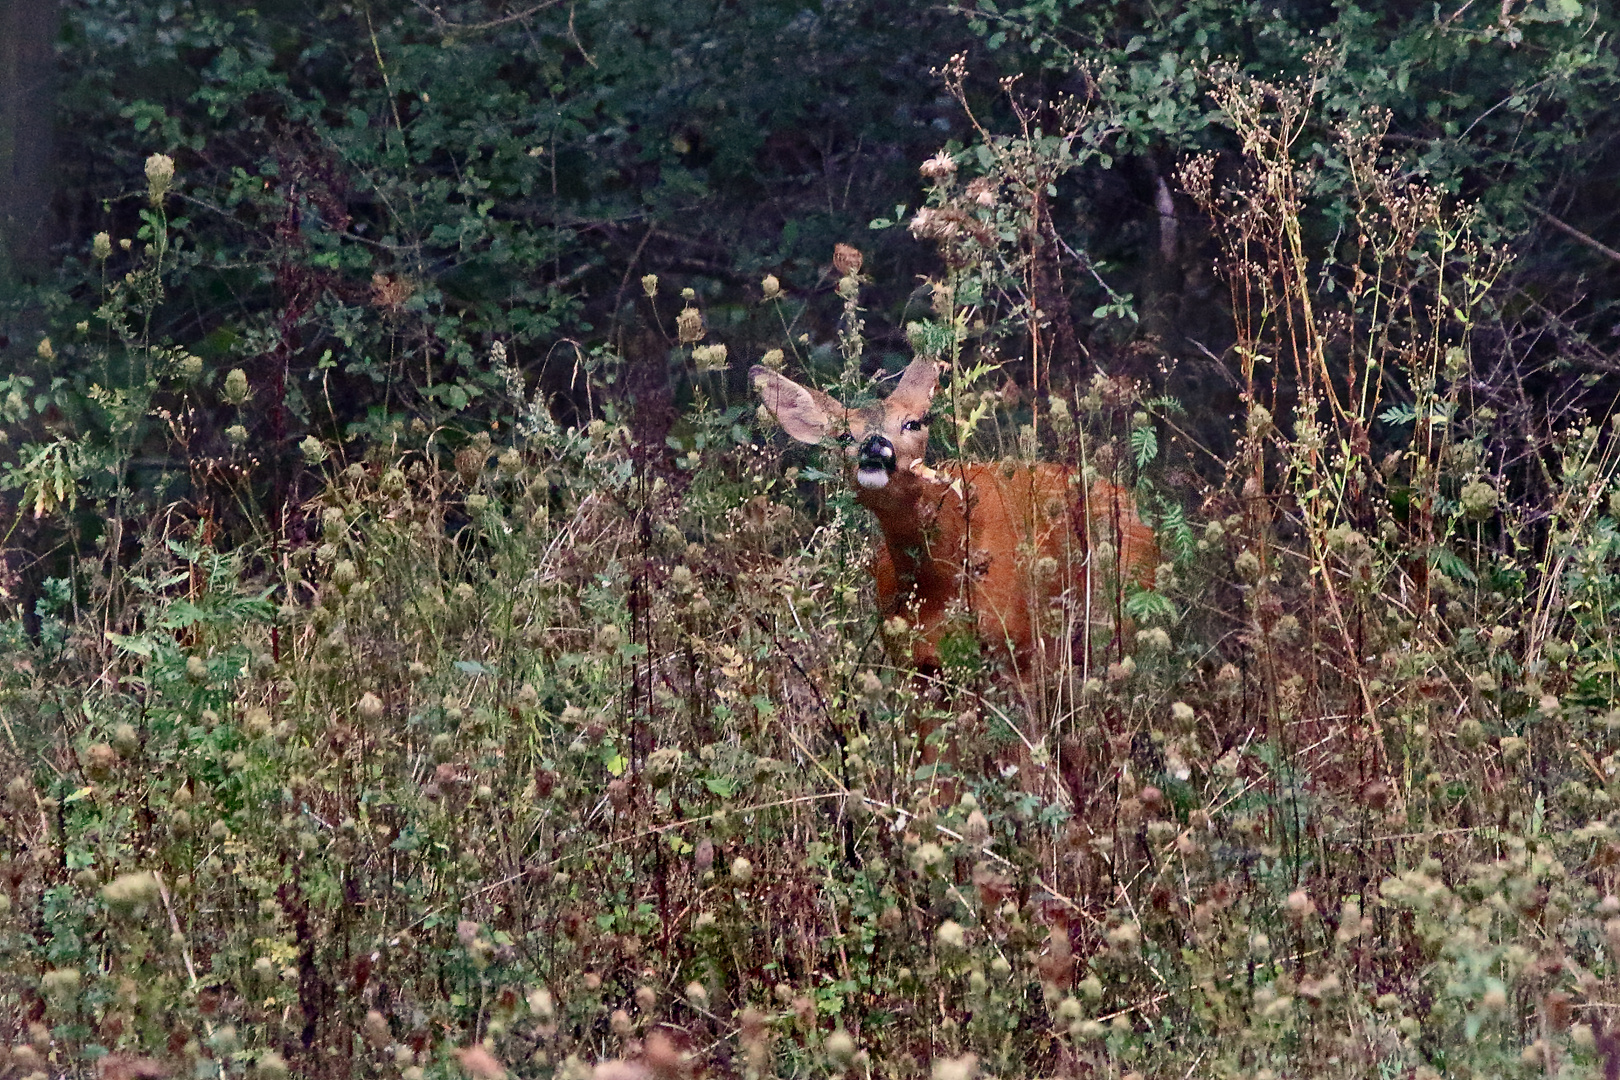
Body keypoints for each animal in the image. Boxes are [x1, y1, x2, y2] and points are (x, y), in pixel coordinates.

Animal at [751, 359, 1159, 689]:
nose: (874, 446)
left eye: (912, 422)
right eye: (844, 435)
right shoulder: (913, 663)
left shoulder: (1022, 649)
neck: (942, 581)